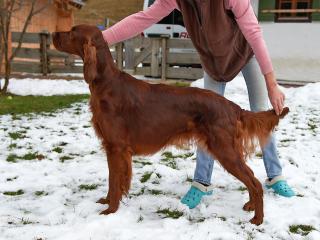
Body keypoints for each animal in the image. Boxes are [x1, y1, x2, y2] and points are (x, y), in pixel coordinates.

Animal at [51, 24, 288, 225]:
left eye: (72, 31)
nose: (52, 33)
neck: (106, 83)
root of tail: (232, 106)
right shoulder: (113, 148)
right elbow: (113, 181)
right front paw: (107, 202)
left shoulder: (116, 147)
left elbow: (115, 181)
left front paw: (111, 210)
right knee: (251, 179)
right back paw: (250, 206)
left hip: (224, 150)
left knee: (254, 181)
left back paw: (258, 219)